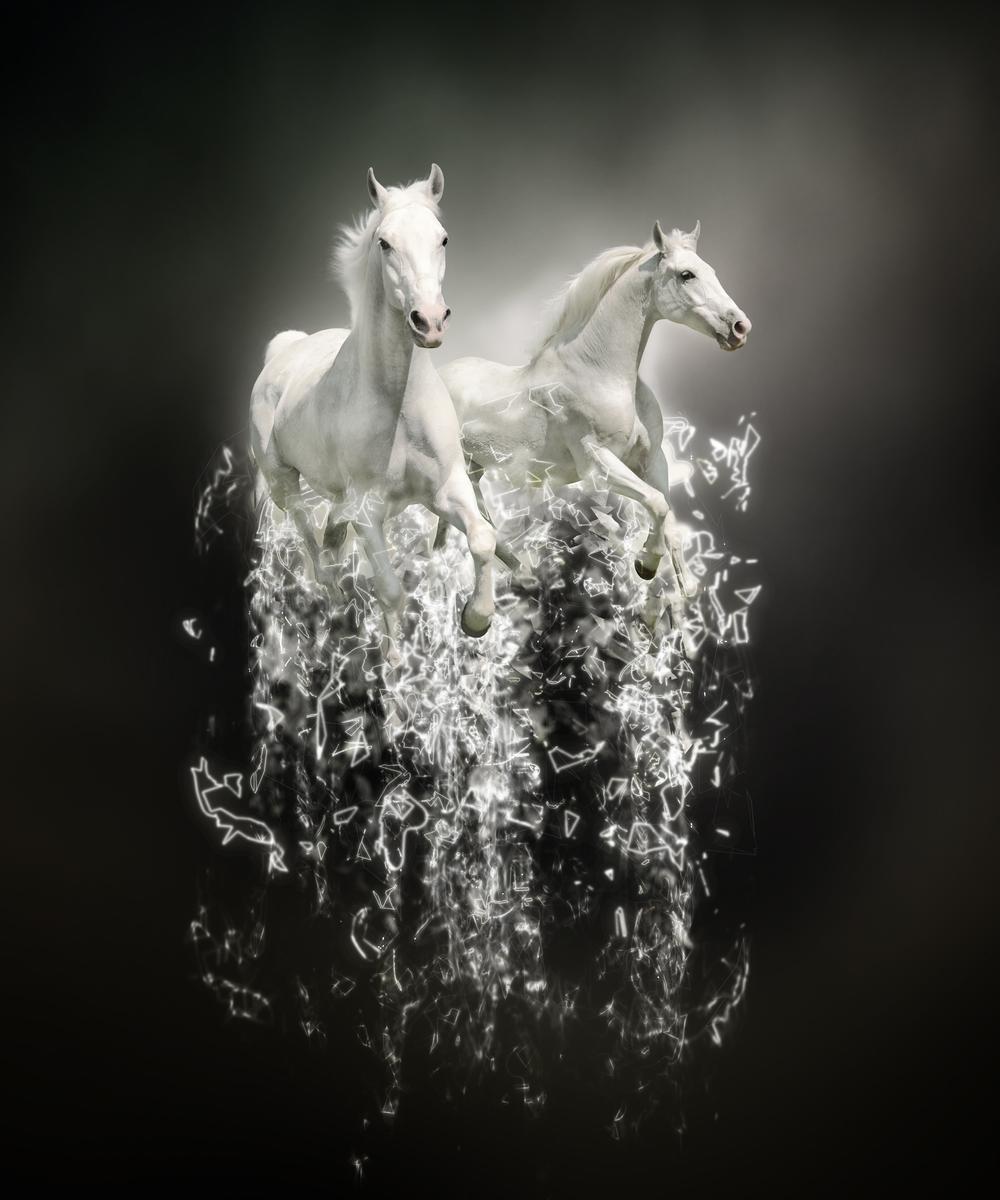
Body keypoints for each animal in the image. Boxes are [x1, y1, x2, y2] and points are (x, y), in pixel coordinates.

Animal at [250, 164, 510, 648]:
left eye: (443, 239)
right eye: (385, 243)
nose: (429, 321)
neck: (398, 409)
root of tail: (284, 350)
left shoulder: (446, 487)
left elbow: (483, 537)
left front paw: (476, 619)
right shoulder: (367, 512)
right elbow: (389, 590)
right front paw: (395, 658)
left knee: (331, 532)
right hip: (282, 482)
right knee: (309, 535)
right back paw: (333, 597)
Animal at [439, 220, 751, 620]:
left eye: (710, 270)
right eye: (687, 275)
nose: (740, 328)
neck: (600, 372)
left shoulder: (652, 461)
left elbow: (668, 517)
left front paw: (686, 588)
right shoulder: (598, 465)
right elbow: (657, 504)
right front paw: (646, 563)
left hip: (475, 467)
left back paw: (521, 575)